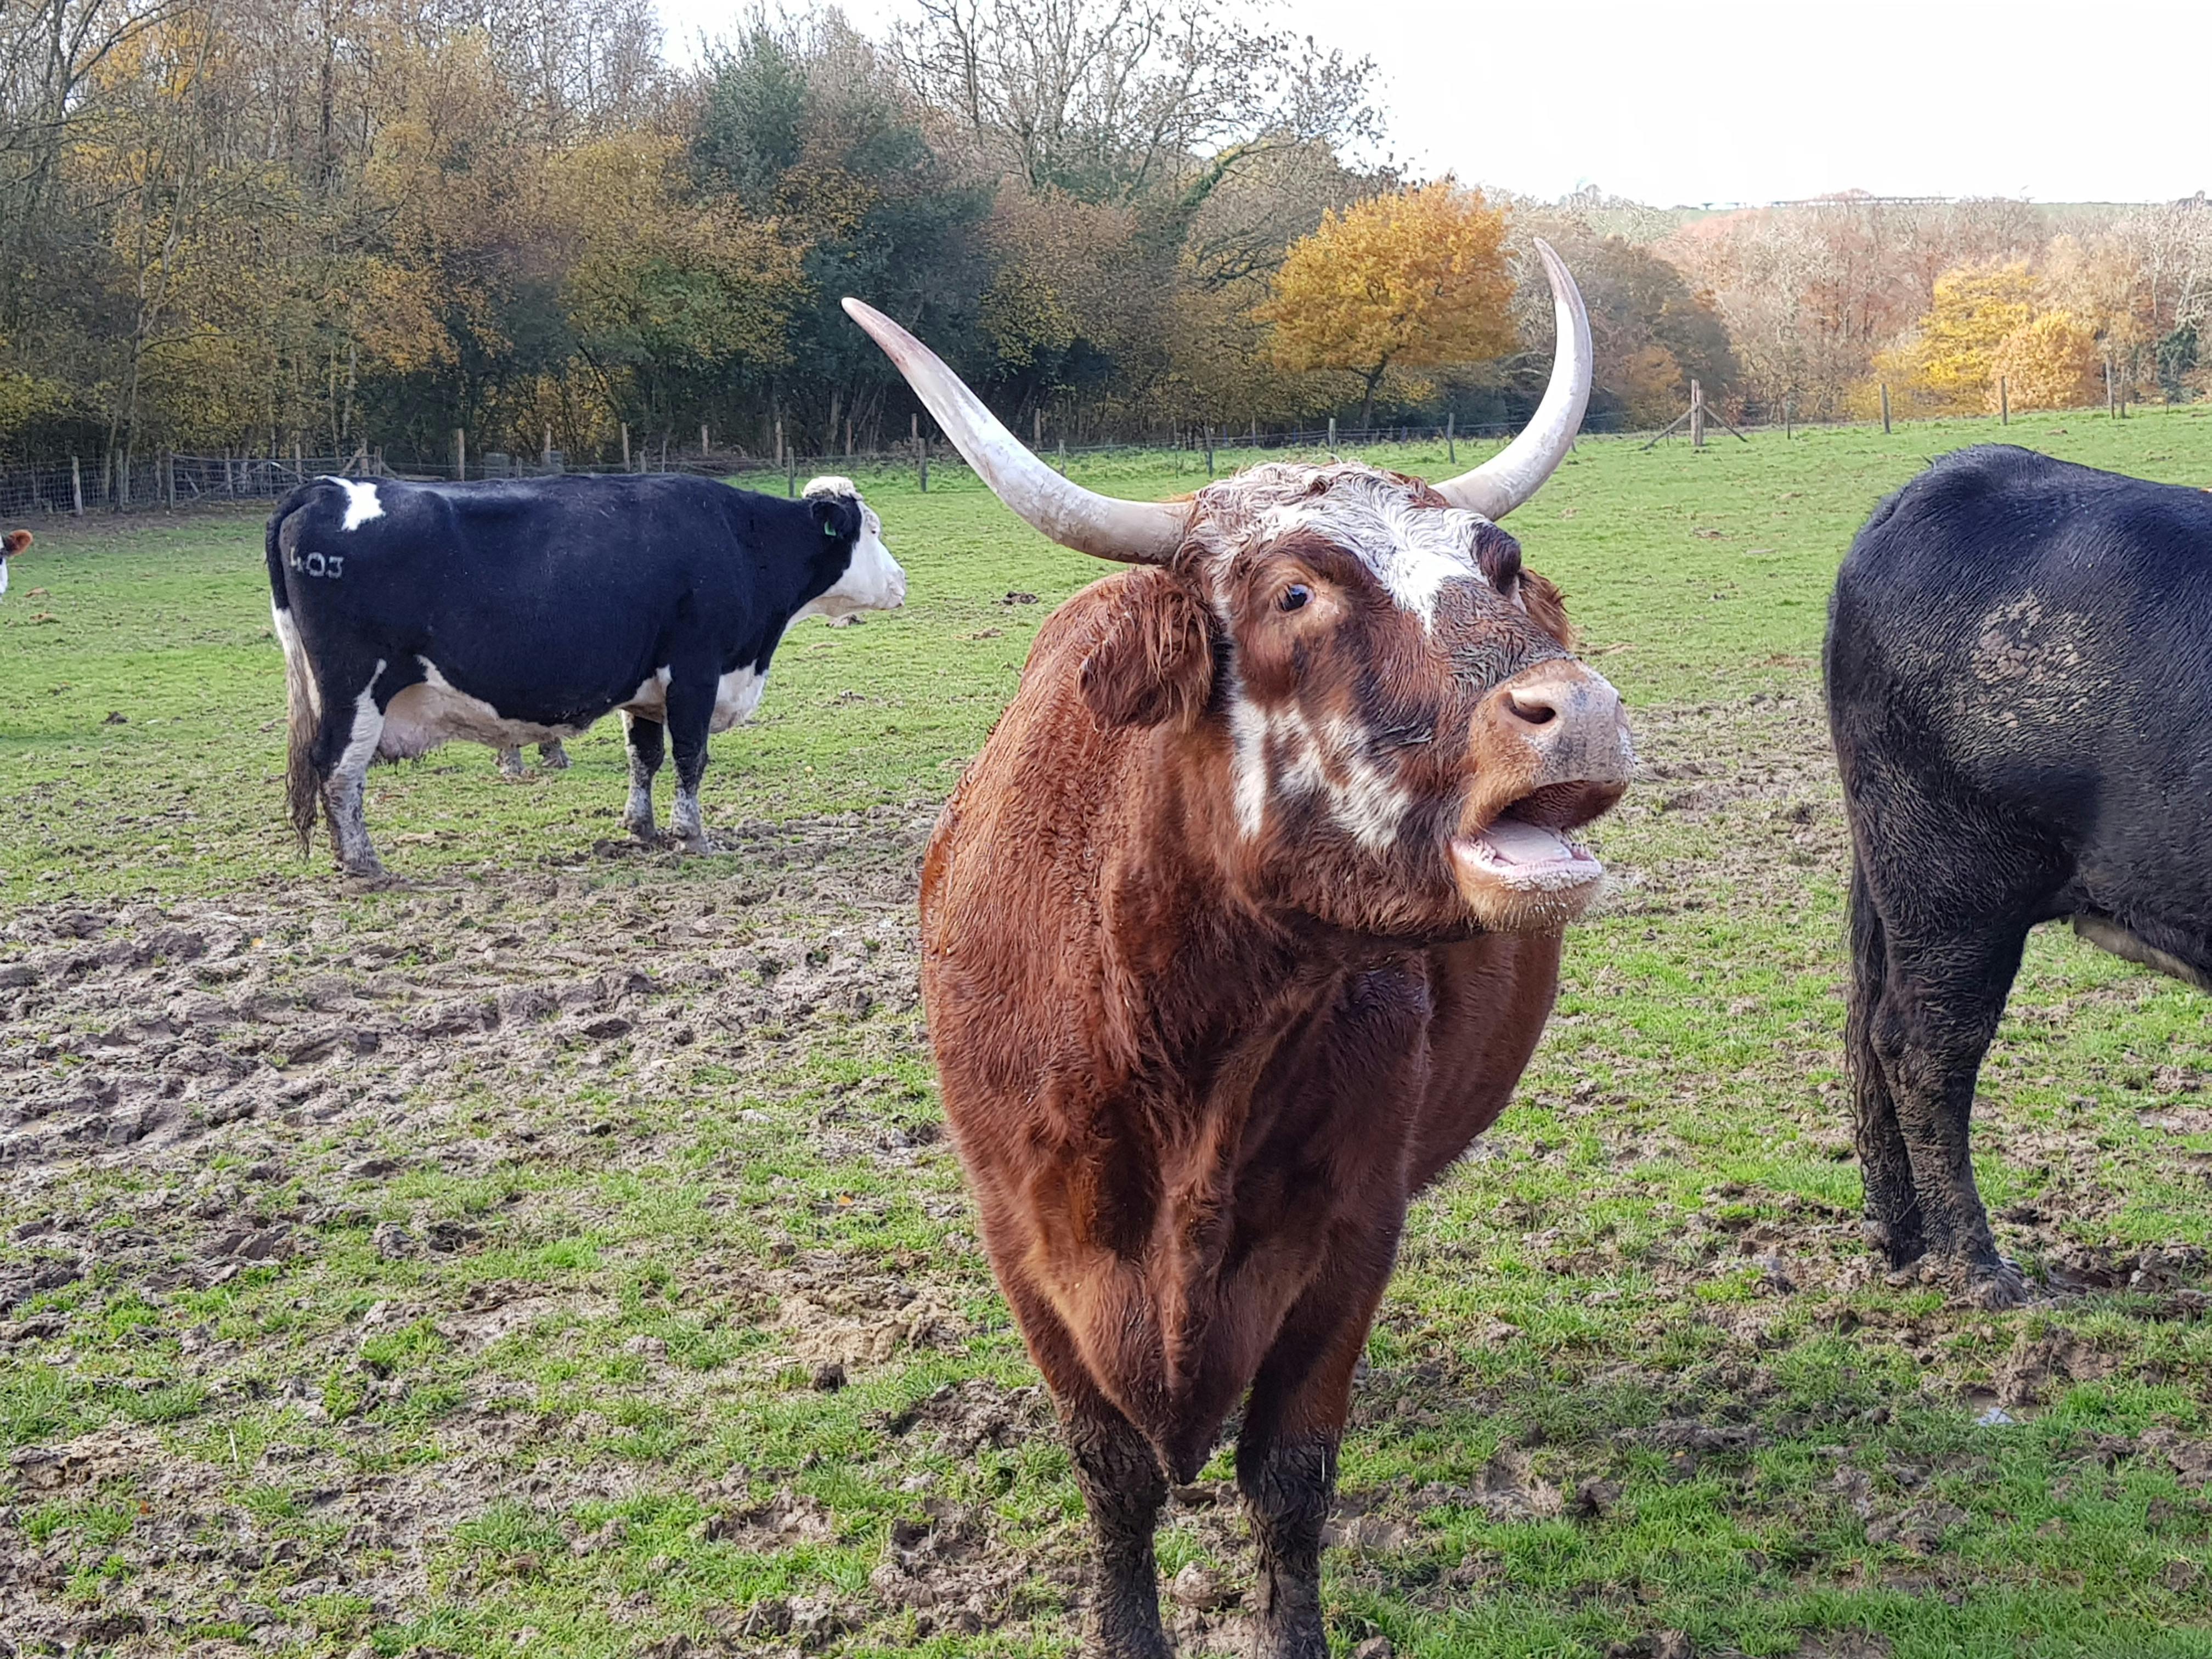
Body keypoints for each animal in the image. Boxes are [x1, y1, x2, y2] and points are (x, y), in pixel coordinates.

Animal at [263, 471, 902, 876]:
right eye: (872, 529)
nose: (901, 580)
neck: (738, 540)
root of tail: (324, 488)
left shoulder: (647, 690)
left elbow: (644, 757)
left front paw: (642, 828)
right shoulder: (696, 672)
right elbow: (690, 757)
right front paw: (693, 836)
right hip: (355, 688)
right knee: (338, 769)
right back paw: (363, 862)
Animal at [845, 240, 1628, 1654]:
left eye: (1499, 562)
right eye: (1294, 591)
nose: (1577, 707)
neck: (1177, 1042)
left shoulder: (1350, 1232)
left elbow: (1291, 1477)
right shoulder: (1025, 1249)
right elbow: (1113, 1474)